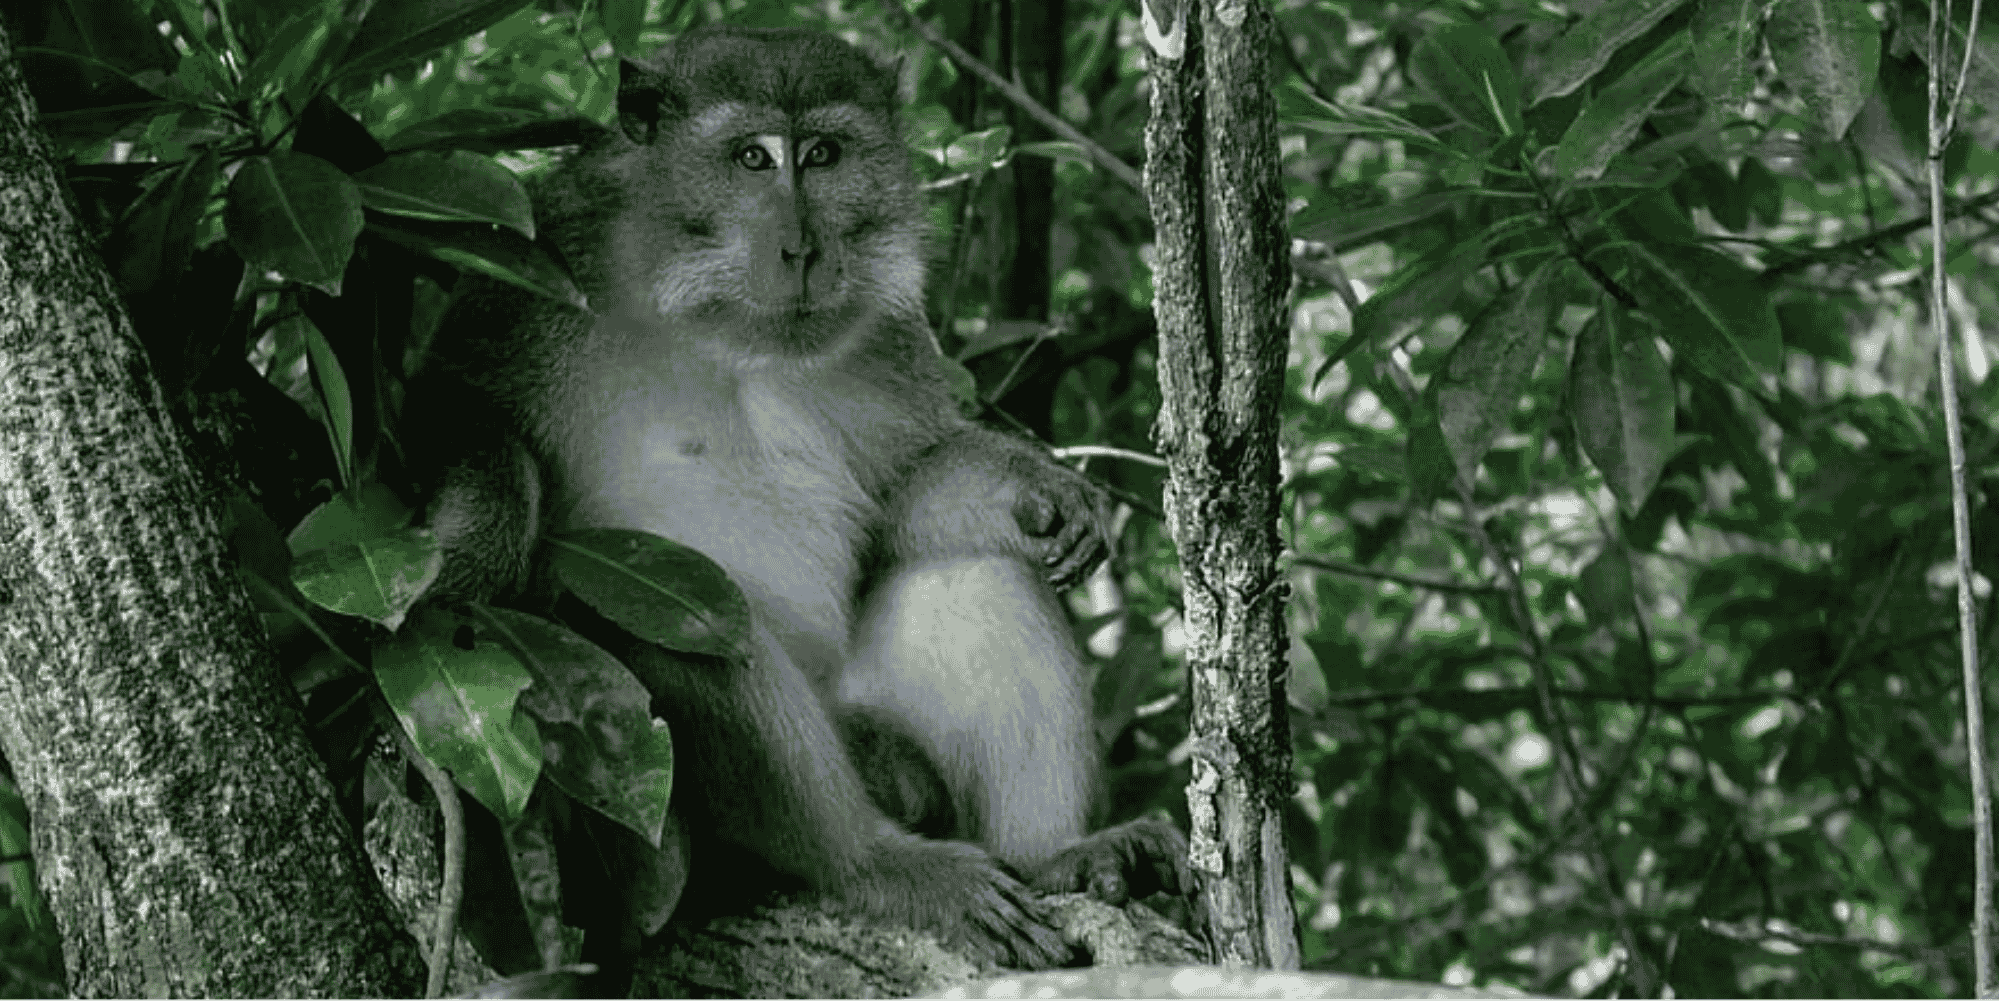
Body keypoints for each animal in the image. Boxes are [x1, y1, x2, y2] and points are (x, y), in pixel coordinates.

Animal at [411, 24, 1187, 971]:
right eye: (751, 158)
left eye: (821, 155)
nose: (803, 248)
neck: (717, 315)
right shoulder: (541, 264)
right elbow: (445, 413)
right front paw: (479, 541)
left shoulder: (889, 329)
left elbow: (897, 492)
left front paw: (1031, 488)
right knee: (687, 618)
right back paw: (877, 865)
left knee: (975, 571)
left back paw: (1054, 854)